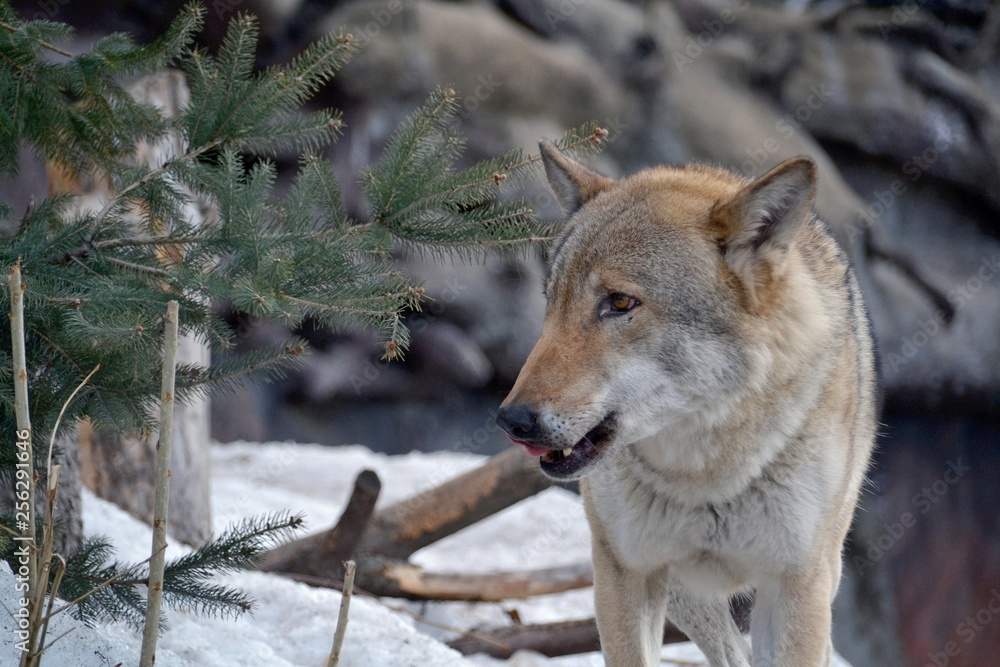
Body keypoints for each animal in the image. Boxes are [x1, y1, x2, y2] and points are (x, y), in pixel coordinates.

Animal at [497, 143, 877, 666]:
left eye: (619, 302)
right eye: (552, 301)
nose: (512, 420)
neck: (705, 477)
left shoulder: (797, 586)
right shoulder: (625, 570)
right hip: (683, 594)